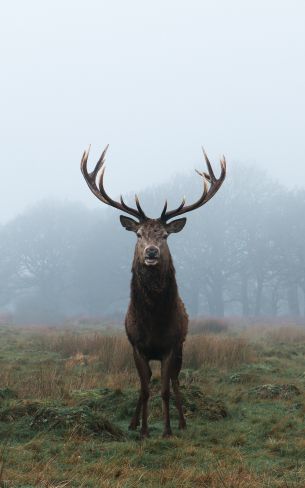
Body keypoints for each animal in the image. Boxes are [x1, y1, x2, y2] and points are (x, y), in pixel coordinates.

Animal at [81, 146, 226, 438]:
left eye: (165, 236)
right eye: (138, 234)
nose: (151, 252)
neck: (154, 323)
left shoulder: (171, 345)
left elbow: (165, 390)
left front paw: (168, 430)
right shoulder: (137, 346)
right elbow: (146, 388)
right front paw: (144, 430)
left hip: (181, 347)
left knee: (175, 380)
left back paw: (182, 422)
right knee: (145, 381)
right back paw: (133, 422)